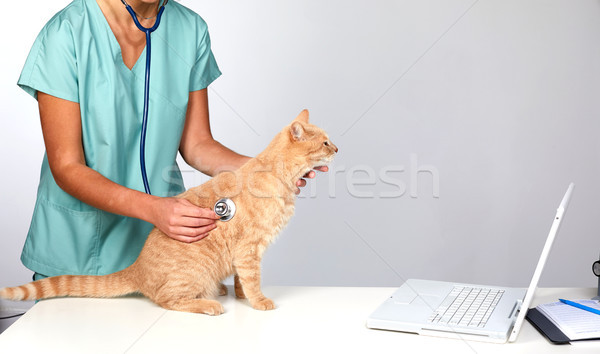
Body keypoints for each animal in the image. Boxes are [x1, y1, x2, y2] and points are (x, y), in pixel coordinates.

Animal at [0, 110, 338, 316]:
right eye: (324, 142)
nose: (337, 149)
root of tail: (136, 266)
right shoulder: (249, 248)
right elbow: (252, 278)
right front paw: (259, 301)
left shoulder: (248, 251)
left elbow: (243, 279)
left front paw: (242, 296)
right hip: (193, 273)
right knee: (168, 300)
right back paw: (208, 304)